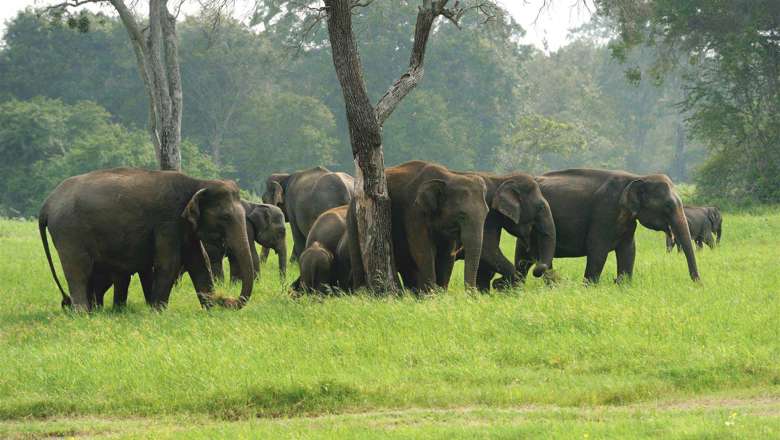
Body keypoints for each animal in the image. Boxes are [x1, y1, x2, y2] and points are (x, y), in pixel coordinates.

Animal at [38, 167, 253, 312]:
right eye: (225, 217)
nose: (225, 300)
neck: (197, 183)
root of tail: (47, 203)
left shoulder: (186, 228)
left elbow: (199, 263)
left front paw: (210, 309)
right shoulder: (167, 222)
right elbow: (169, 263)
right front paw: (158, 312)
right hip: (69, 232)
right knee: (78, 271)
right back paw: (83, 314)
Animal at [348, 160, 488, 290]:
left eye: (486, 213)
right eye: (461, 215)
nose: (472, 294)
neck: (450, 175)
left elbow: (447, 255)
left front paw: (440, 293)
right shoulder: (414, 211)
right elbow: (423, 251)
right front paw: (432, 294)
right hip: (356, 216)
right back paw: (362, 292)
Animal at [516, 168, 700, 282]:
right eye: (668, 205)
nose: (698, 284)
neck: (637, 177)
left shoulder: (628, 220)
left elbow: (628, 251)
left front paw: (623, 285)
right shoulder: (605, 211)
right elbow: (597, 250)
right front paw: (589, 288)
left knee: (524, 259)